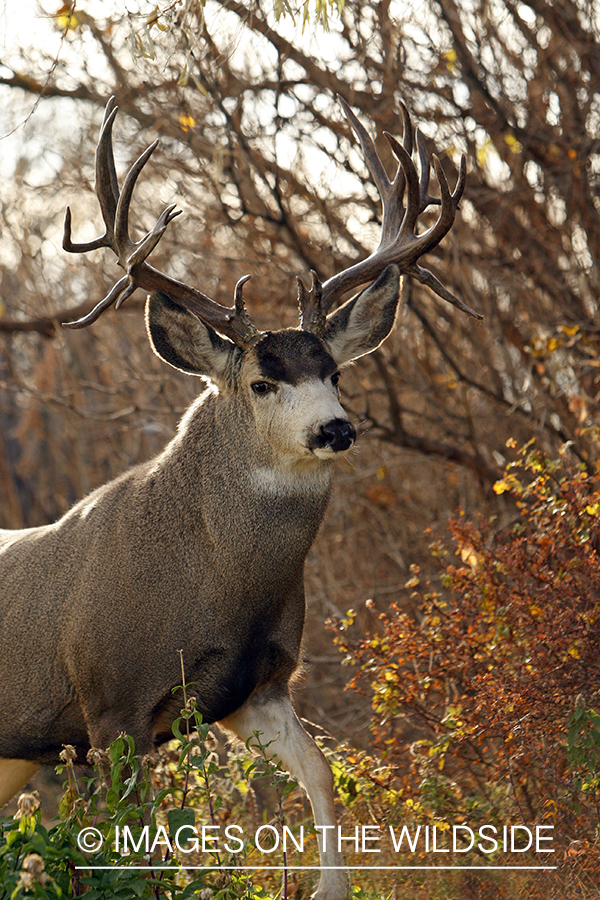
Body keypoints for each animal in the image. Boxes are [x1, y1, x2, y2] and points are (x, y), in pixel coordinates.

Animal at [0, 96, 479, 899]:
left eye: (336, 374)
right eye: (261, 381)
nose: (336, 428)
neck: (219, 586)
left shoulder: (258, 685)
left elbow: (321, 774)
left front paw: (329, 887)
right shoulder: (111, 700)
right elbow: (136, 847)